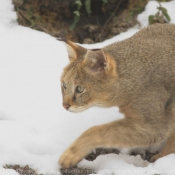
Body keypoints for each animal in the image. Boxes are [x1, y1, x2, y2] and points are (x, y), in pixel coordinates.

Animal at [58, 23, 175, 168]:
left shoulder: (155, 125)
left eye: (80, 89)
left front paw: (72, 153)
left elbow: (98, 130)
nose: (65, 105)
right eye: (64, 85)